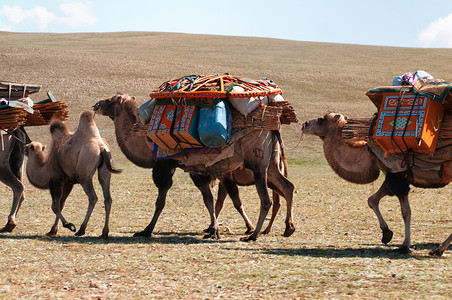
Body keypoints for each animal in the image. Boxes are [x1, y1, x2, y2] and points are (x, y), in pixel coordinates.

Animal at [93, 92, 294, 240]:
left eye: (111, 100)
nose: (96, 104)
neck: (146, 141)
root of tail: (273, 126)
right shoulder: (199, 170)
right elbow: (209, 200)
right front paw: (213, 231)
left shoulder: (164, 165)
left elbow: (161, 201)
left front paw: (146, 230)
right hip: (271, 165)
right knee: (287, 187)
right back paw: (288, 228)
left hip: (258, 164)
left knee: (267, 199)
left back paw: (253, 235)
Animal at [302, 112, 452, 255]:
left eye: (321, 119)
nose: (304, 124)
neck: (370, 153)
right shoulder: (391, 175)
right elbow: (372, 200)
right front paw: (386, 234)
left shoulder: (397, 175)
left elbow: (406, 212)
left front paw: (404, 246)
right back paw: (439, 250)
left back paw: (438, 249)